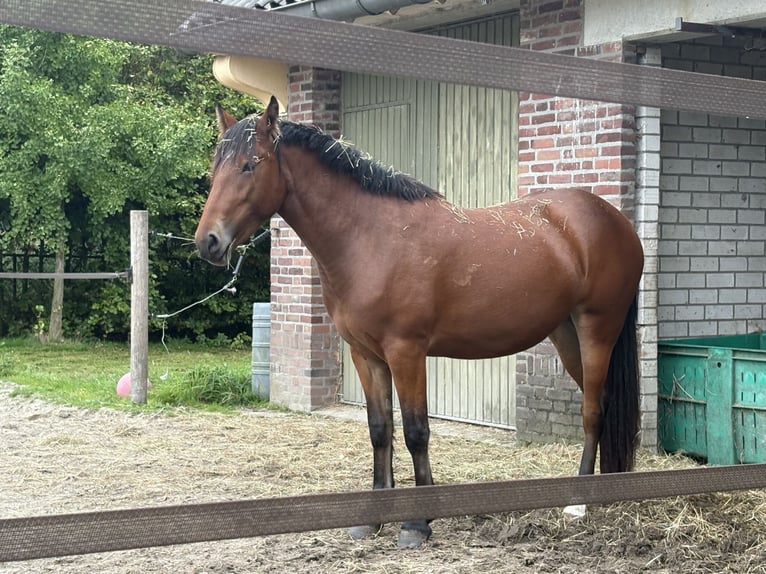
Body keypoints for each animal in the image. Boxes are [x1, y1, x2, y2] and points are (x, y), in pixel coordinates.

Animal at [195, 96, 644, 548]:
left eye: (250, 165)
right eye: (216, 169)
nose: (207, 242)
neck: (370, 238)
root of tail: (616, 221)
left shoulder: (406, 351)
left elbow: (415, 430)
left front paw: (417, 523)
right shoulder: (365, 355)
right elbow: (380, 429)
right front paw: (373, 518)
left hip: (596, 328)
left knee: (592, 410)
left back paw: (579, 503)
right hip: (565, 333)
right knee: (600, 402)